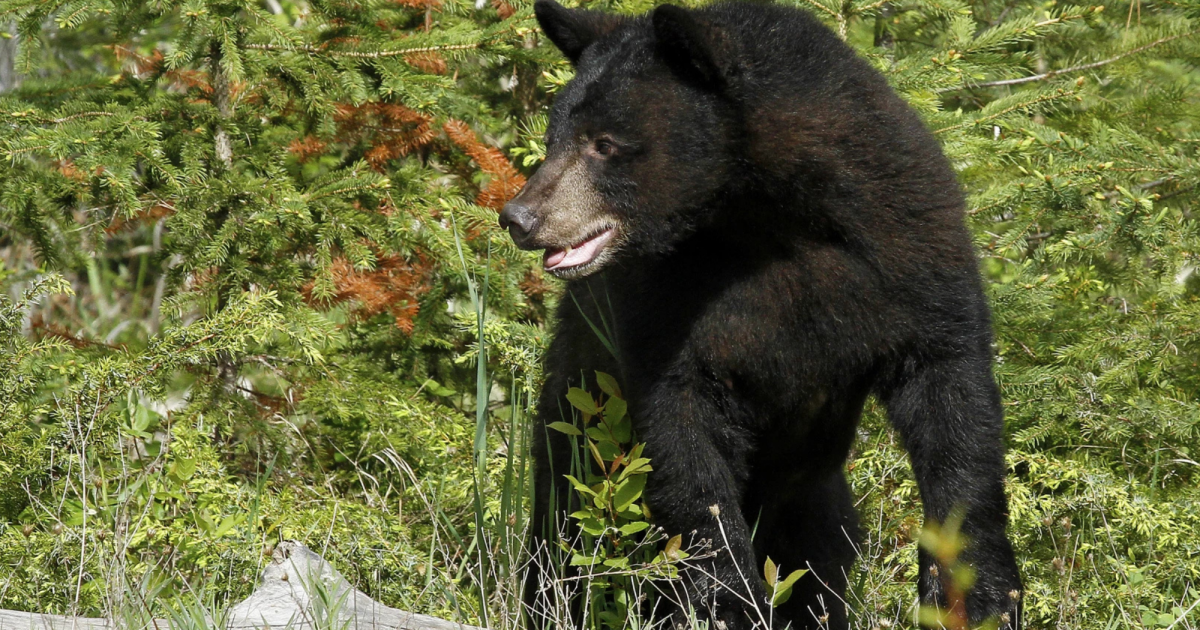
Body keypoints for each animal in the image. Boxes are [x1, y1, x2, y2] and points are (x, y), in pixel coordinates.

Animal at [500, 1, 1024, 628]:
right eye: (554, 137)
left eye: (604, 143)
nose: (519, 216)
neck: (765, 218)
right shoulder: (663, 299)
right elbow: (684, 433)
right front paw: (729, 600)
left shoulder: (906, 249)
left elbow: (952, 398)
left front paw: (976, 593)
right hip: (579, 423)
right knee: (565, 527)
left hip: (813, 495)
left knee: (821, 552)